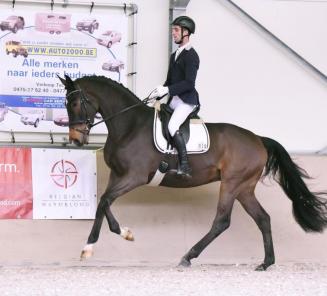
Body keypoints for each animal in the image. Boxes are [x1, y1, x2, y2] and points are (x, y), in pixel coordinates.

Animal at [59, 74, 327, 270]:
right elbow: (103, 204)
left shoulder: (135, 176)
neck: (129, 125)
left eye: (75, 103)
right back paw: (266, 263)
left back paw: (188, 256)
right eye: (65, 104)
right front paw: (117, 236)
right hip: (244, 188)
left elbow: (104, 201)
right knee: (262, 218)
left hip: (232, 183)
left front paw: (94, 246)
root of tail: (258, 139)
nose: (76, 140)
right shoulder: (118, 175)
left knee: (222, 221)